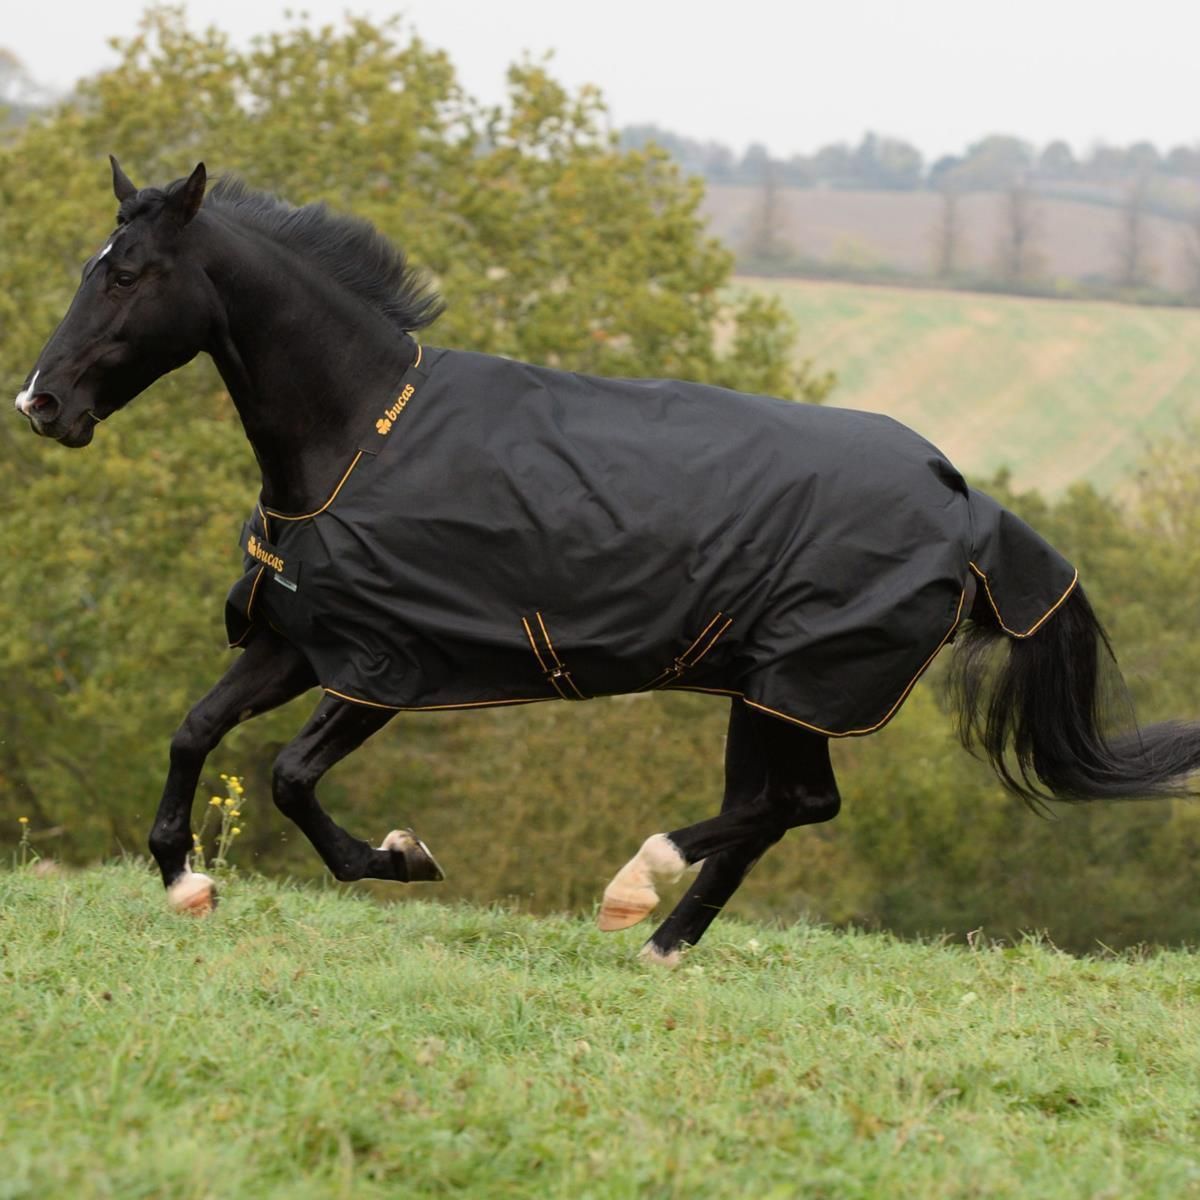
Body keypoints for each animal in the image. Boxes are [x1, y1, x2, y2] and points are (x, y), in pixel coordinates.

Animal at [15, 160, 1200, 964]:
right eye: (91, 267)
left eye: (130, 275)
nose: (42, 403)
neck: (363, 433)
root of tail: (968, 504)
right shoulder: (294, 643)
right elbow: (192, 733)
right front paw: (184, 882)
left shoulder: (383, 665)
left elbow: (291, 779)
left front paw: (402, 857)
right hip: (768, 691)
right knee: (789, 806)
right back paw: (664, 943)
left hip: (804, 682)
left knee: (788, 806)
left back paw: (637, 886)